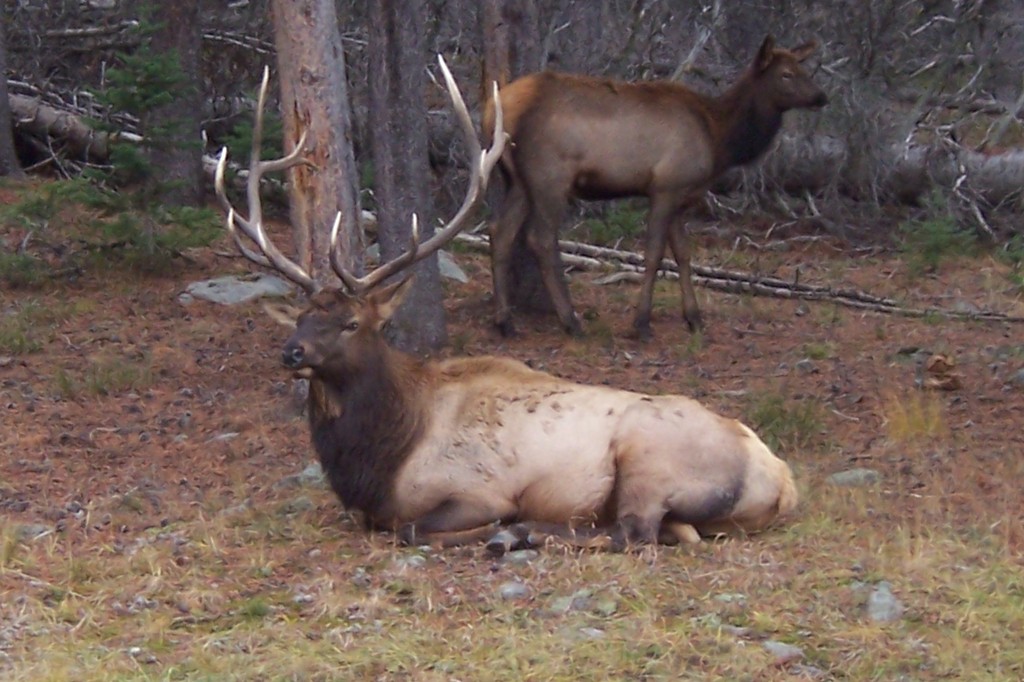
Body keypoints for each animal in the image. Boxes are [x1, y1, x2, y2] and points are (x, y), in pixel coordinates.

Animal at [214, 57, 798, 552]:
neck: (381, 459)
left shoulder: (477, 489)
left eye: (352, 322)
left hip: (649, 460)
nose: (291, 352)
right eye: (302, 317)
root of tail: (783, 480)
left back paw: (523, 533)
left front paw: (497, 527)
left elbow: (413, 529)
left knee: (631, 532)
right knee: (668, 531)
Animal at [482, 36, 828, 339]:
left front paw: (694, 319)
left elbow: (684, 255)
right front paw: (642, 324)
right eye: (786, 74)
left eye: (804, 70)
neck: (720, 139)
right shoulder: (666, 187)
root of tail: (491, 113)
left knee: (500, 231)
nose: (821, 97)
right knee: (539, 239)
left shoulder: (682, 195)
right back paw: (571, 322)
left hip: (518, 181)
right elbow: (654, 255)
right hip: (550, 177)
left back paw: (505, 322)